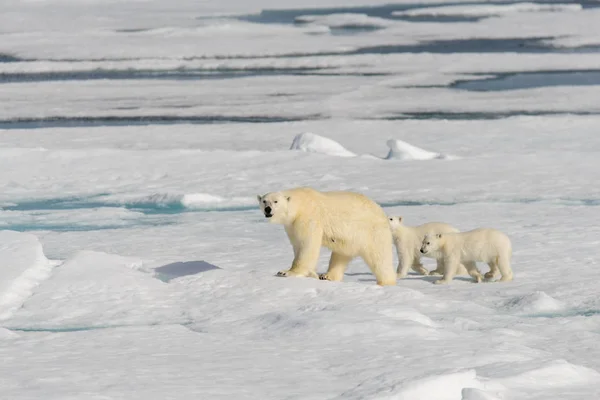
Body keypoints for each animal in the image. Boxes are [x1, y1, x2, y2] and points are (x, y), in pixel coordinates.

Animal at [255, 188, 396, 288]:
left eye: (276, 201)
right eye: (264, 201)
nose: (268, 209)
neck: (300, 203)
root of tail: (381, 211)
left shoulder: (308, 217)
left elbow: (307, 244)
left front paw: (286, 272)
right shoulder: (292, 226)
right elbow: (298, 244)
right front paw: (312, 273)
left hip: (371, 232)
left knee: (380, 258)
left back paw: (385, 282)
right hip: (349, 240)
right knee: (340, 256)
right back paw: (327, 276)